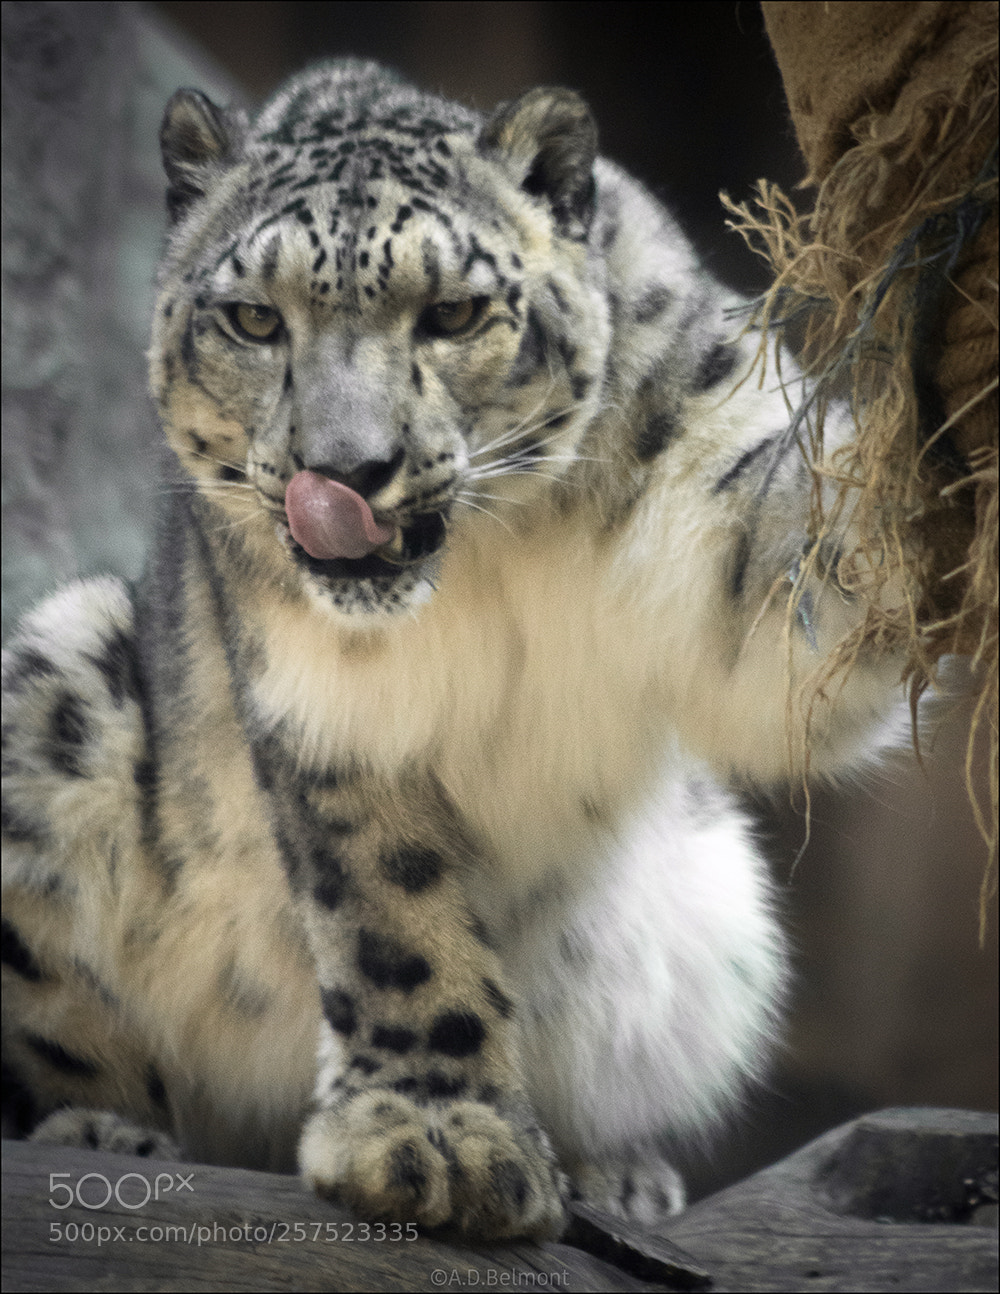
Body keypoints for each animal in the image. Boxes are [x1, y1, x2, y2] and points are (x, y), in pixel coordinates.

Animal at [2, 59, 905, 1241]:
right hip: (53, 672)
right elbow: (396, 916)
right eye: (252, 318)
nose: (345, 472)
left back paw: (619, 1172)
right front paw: (438, 1142)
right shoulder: (333, 702)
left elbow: (801, 596)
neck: (481, 554)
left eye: (455, 312)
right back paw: (103, 1132)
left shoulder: (727, 535)